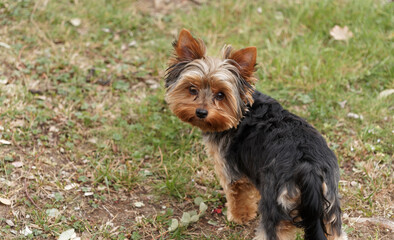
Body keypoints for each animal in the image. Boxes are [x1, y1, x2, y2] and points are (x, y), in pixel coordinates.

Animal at [165, 29, 346, 239]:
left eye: (221, 95)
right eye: (192, 89)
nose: (201, 112)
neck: (242, 111)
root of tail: (308, 169)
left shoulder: (231, 170)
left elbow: (237, 195)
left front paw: (238, 217)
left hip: (276, 204)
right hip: (330, 206)